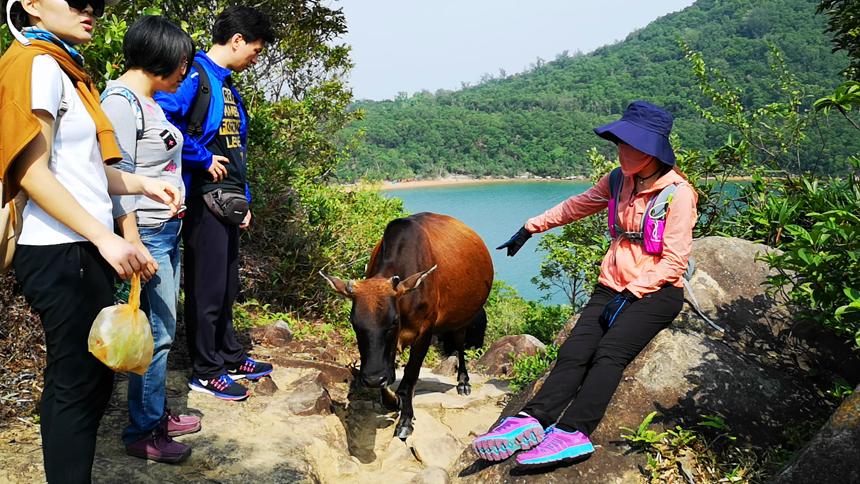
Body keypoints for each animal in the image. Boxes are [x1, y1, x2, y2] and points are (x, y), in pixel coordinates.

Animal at [320, 212, 490, 438]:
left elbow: (409, 376)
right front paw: (392, 400)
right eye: (354, 323)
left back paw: (463, 381)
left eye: (394, 321)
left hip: (463, 319)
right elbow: (388, 375)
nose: (371, 379)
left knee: (460, 345)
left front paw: (406, 420)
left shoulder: (425, 331)